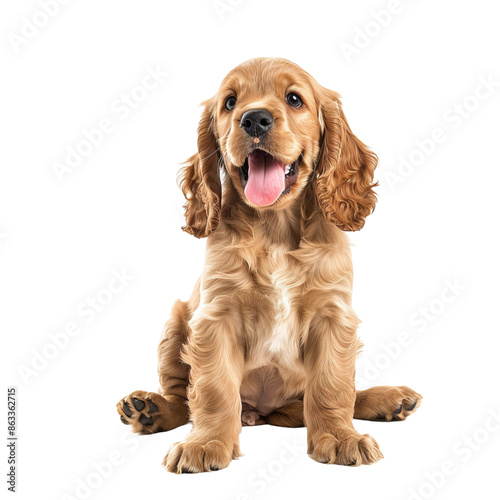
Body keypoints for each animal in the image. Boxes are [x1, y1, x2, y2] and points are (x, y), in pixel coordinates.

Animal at [117, 58, 422, 472]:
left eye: (294, 99)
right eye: (230, 102)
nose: (255, 119)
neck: (274, 229)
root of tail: (260, 413)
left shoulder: (333, 315)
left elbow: (332, 385)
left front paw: (339, 438)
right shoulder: (215, 317)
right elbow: (212, 389)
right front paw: (206, 444)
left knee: (341, 392)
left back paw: (389, 399)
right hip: (176, 323)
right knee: (183, 397)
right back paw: (149, 409)